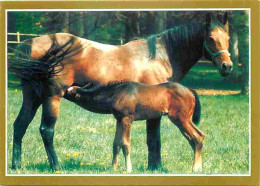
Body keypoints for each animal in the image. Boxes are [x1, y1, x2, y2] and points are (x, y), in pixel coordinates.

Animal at [65, 81, 205, 173]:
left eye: (70, 92)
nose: (62, 91)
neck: (115, 95)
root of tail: (191, 91)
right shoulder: (119, 119)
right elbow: (116, 144)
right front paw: (113, 168)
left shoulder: (127, 119)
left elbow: (125, 144)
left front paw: (128, 169)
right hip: (181, 120)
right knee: (194, 139)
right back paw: (199, 167)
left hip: (180, 118)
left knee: (198, 137)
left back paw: (195, 168)